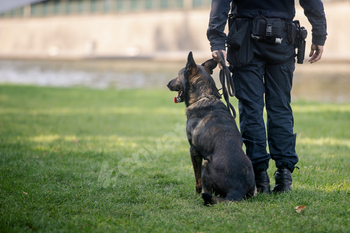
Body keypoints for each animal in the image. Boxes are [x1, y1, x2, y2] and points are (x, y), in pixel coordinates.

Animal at [167, 51, 254, 204]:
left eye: (178, 74)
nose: (167, 84)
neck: (204, 96)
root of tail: (237, 189)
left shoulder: (194, 151)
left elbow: (197, 180)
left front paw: (195, 194)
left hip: (205, 164)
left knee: (206, 190)